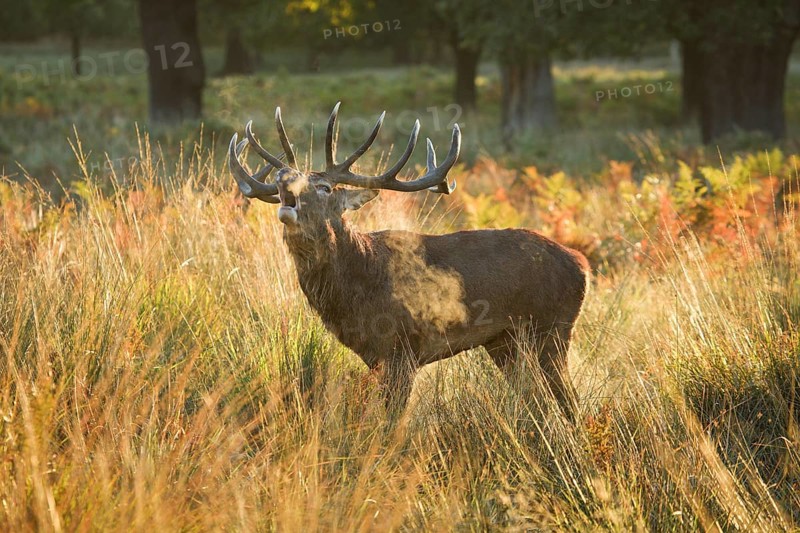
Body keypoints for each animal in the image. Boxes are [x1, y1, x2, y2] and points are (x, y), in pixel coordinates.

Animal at [228, 103, 590, 421]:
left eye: (325, 187)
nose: (284, 177)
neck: (358, 288)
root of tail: (582, 264)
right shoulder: (376, 357)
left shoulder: (402, 348)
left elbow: (392, 422)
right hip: (505, 342)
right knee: (536, 399)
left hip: (554, 328)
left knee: (568, 399)